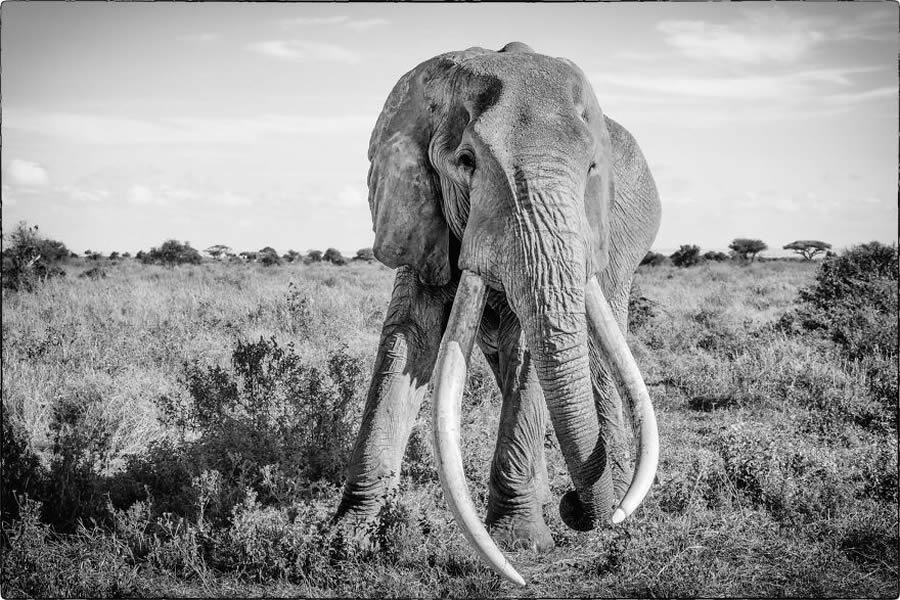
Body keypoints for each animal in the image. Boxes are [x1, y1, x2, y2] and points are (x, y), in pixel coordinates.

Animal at [336, 42, 660, 584]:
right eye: (466, 161)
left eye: (592, 168)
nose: (576, 508)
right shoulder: (424, 217)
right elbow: (409, 338)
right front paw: (346, 542)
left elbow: (528, 349)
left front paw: (519, 543)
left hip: (621, 250)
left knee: (596, 354)